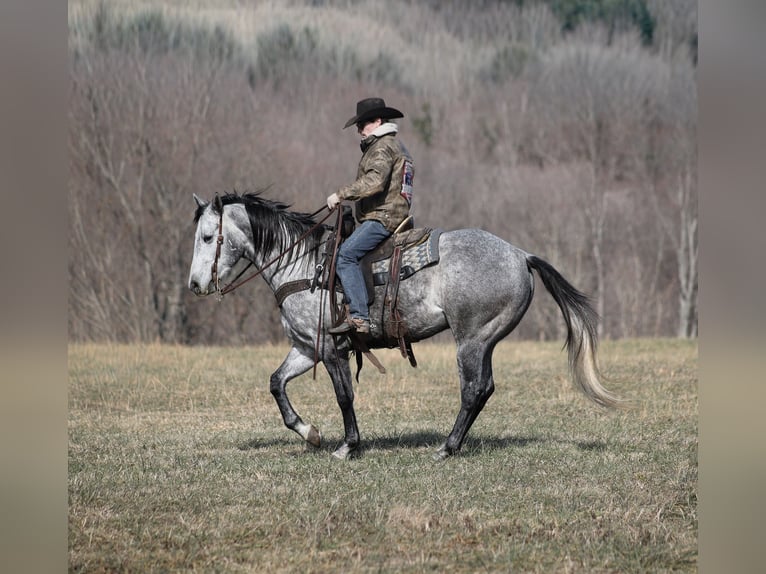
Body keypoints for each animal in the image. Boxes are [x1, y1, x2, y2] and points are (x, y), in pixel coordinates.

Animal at [188, 192, 623, 460]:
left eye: (208, 237)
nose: (195, 285)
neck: (304, 265)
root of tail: (520, 255)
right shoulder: (307, 348)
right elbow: (277, 383)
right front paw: (309, 432)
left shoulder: (330, 350)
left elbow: (344, 396)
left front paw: (348, 446)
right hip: (485, 341)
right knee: (484, 389)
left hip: (471, 339)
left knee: (473, 389)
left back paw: (446, 447)